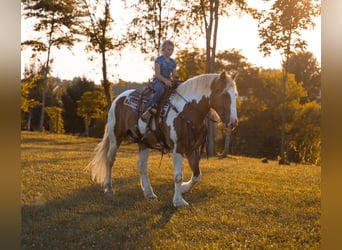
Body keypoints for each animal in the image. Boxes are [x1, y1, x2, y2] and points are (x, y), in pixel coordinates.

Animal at [87, 71, 239, 206]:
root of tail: (119, 98)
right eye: (224, 94)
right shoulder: (178, 148)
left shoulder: (192, 149)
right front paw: (178, 201)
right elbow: (178, 175)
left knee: (142, 165)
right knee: (110, 160)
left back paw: (149, 193)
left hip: (143, 142)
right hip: (115, 137)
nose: (233, 122)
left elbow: (197, 175)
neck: (186, 110)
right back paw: (108, 189)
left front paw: (184, 189)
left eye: (235, 95)